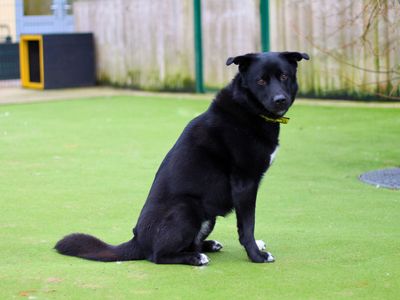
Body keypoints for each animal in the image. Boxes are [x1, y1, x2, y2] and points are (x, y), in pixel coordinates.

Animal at [54, 51, 308, 264]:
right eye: (260, 81)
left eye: (284, 76)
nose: (280, 99)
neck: (247, 107)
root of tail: (138, 240)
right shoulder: (244, 183)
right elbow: (247, 226)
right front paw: (256, 255)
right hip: (186, 208)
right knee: (158, 256)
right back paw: (196, 258)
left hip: (207, 216)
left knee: (190, 243)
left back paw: (208, 246)